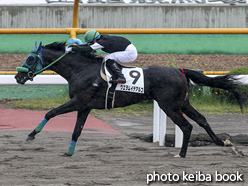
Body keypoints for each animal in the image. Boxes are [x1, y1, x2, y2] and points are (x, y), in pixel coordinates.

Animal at [15, 41, 244, 158]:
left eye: (30, 58)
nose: (18, 77)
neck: (80, 69)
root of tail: (179, 70)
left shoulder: (78, 102)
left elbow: (50, 112)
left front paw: (31, 135)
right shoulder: (85, 106)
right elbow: (77, 130)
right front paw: (69, 152)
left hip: (169, 105)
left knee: (187, 126)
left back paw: (181, 154)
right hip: (183, 103)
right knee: (202, 119)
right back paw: (220, 141)